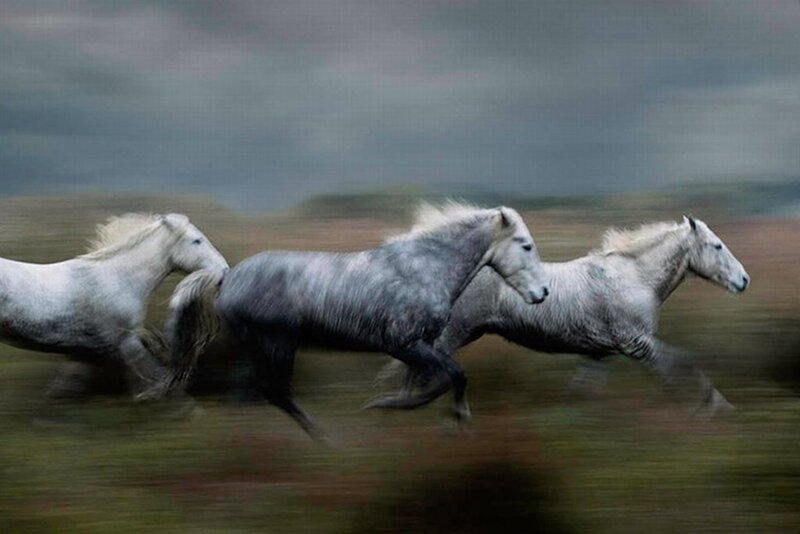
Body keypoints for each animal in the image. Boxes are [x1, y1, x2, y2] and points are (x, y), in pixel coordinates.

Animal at [0, 213, 228, 399]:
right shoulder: (127, 342)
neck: (117, 278)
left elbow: (64, 389)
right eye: (197, 240)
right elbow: (156, 377)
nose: (225, 269)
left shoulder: (86, 353)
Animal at [155, 203, 550, 438]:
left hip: (255, 347)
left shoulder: (419, 346)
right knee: (275, 392)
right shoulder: (404, 343)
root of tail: (228, 277)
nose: (543, 292)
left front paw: (392, 410)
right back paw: (322, 437)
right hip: (278, 344)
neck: (425, 269)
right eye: (525, 245)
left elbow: (423, 383)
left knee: (246, 391)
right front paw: (458, 419)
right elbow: (452, 375)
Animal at [377, 216, 749, 418]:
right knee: (422, 368)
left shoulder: (601, 352)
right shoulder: (637, 343)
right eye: (716, 246)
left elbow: (582, 391)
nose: (744, 280)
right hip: (455, 332)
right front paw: (715, 407)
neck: (635, 278)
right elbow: (682, 364)